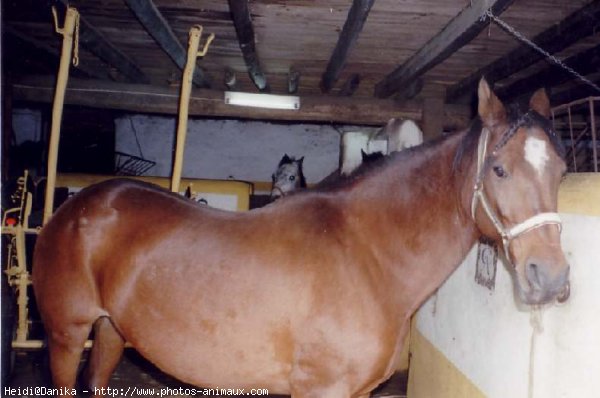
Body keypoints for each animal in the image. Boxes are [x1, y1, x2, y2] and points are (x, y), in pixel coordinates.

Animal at [31, 79, 568, 396]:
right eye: (498, 169)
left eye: (562, 169)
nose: (551, 279)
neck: (367, 255)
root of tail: (77, 205)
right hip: (65, 335)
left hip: (111, 331)